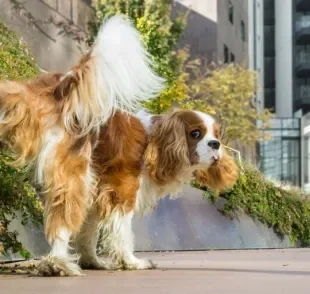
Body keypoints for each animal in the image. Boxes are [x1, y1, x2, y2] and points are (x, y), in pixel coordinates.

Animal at [0, 14, 237, 276]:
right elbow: (122, 232)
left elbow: (89, 233)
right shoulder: (122, 190)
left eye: (217, 134)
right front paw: (131, 262)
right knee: (63, 221)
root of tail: (62, 92)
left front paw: (91, 260)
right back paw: (58, 264)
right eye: (195, 133)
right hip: (75, 177)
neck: (154, 143)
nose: (215, 144)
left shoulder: (98, 194)